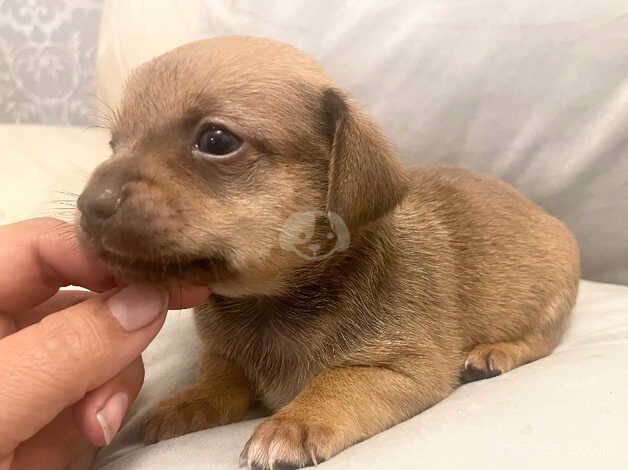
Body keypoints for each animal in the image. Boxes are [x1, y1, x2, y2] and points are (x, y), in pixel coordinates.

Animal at [77, 37, 580, 470]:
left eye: (217, 141)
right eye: (114, 144)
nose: (88, 205)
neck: (269, 305)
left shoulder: (403, 368)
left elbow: (337, 381)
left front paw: (294, 423)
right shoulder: (226, 357)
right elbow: (217, 380)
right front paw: (185, 402)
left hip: (551, 298)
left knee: (541, 340)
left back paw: (495, 352)